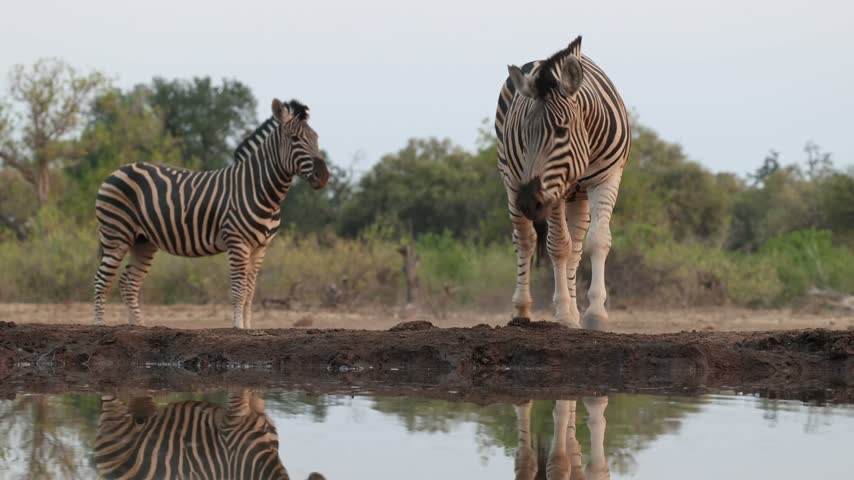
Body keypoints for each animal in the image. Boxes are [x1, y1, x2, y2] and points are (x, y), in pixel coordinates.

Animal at [93, 98, 329, 328]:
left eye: (316, 138)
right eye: (295, 138)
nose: (324, 176)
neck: (257, 189)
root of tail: (118, 170)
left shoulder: (260, 247)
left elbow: (250, 292)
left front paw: (248, 328)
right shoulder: (237, 242)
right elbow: (239, 290)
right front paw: (238, 328)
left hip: (143, 241)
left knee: (128, 283)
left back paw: (138, 327)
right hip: (116, 235)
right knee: (101, 281)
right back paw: (99, 326)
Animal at [495, 36, 631, 329]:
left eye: (561, 131)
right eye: (525, 133)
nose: (528, 201)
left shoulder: (608, 178)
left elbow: (598, 240)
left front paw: (595, 314)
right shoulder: (551, 190)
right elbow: (558, 246)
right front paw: (564, 314)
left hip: (577, 195)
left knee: (577, 246)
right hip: (511, 180)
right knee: (526, 240)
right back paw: (522, 309)